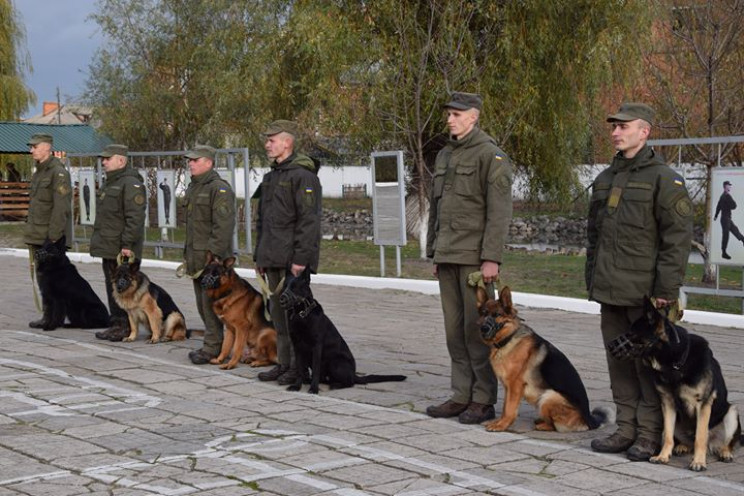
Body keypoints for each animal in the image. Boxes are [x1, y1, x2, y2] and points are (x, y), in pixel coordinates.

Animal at [280, 268, 406, 396]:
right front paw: (296, 386)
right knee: (326, 378)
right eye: (285, 286)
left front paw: (314, 389)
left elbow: (315, 370)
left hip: (335, 362)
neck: (302, 315)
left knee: (349, 382)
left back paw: (335, 385)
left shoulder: (316, 347)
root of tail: (354, 374)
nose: (282, 298)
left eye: (295, 287)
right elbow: (300, 369)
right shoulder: (297, 347)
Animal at [474, 284, 612, 432]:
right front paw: (499, 422)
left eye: (497, 315)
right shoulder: (508, 387)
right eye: (483, 313)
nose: (483, 328)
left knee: (555, 426)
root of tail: (591, 421)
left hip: (548, 396)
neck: (509, 338)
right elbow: (505, 407)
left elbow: (509, 409)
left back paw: (542, 425)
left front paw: (501, 425)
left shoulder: (515, 386)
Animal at [608, 296, 740, 470]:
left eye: (631, 334)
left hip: (731, 413)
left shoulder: (703, 405)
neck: (675, 363)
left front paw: (698, 462)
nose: (609, 345)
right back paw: (682, 447)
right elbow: (669, 436)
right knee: (686, 440)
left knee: (724, 441)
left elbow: (700, 438)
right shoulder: (668, 404)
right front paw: (663, 456)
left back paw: (724, 452)